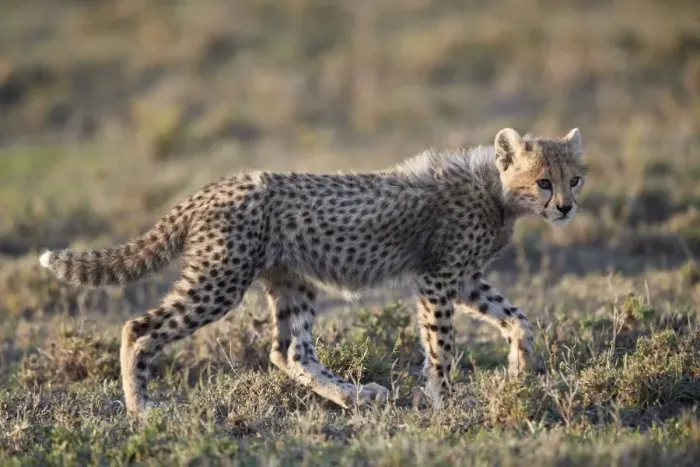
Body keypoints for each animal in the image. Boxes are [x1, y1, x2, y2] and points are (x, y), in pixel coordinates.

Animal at [39, 127, 588, 416]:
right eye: (543, 182)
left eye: (576, 179)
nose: (565, 208)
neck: (496, 191)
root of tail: (221, 183)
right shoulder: (437, 278)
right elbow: (442, 347)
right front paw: (445, 401)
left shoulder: (464, 277)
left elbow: (518, 318)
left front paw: (519, 371)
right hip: (220, 280)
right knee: (138, 327)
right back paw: (141, 408)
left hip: (290, 280)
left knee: (290, 352)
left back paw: (356, 396)